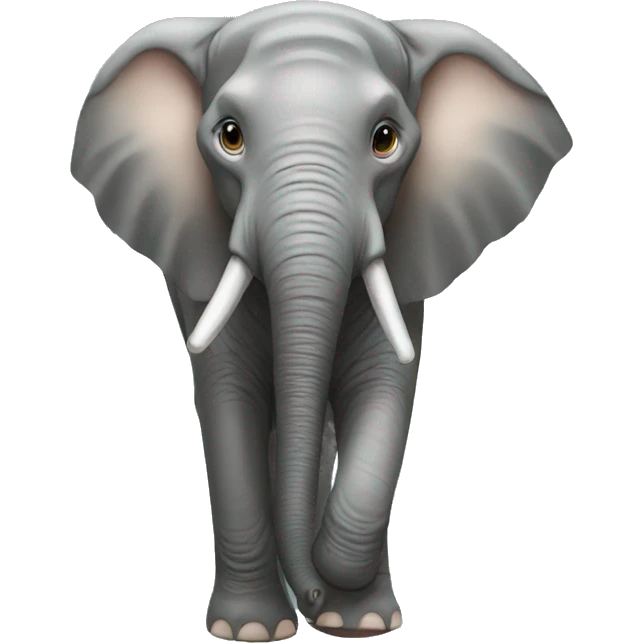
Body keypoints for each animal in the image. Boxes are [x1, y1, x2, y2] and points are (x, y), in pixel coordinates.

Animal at [70, 5, 571, 641]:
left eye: (386, 139)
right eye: (229, 136)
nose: (310, 594)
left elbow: (379, 388)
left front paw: (355, 612)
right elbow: (232, 398)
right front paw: (251, 630)